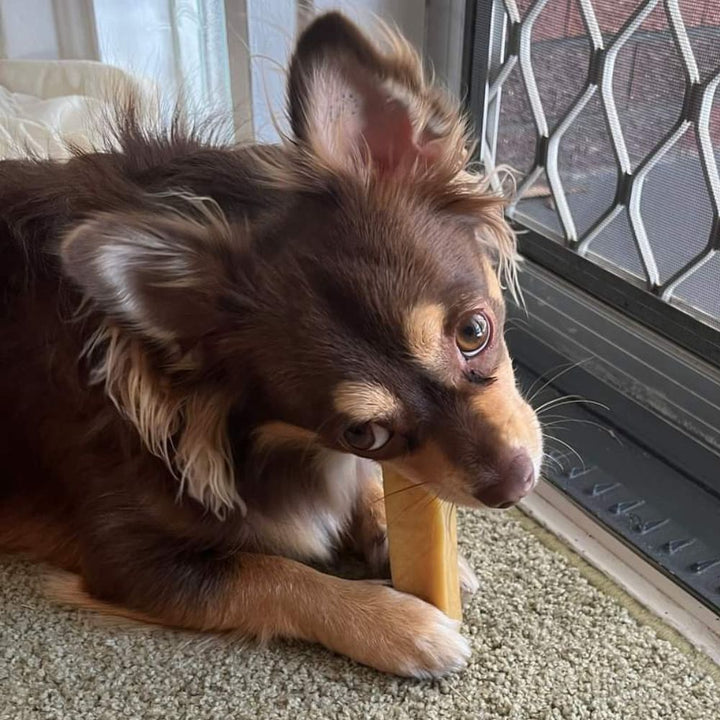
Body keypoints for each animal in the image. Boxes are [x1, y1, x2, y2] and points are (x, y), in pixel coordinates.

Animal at [0, 11, 540, 676]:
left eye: (473, 332)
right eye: (362, 434)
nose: (513, 485)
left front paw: (393, 532)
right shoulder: (125, 559)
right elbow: (273, 575)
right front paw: (399, 623)